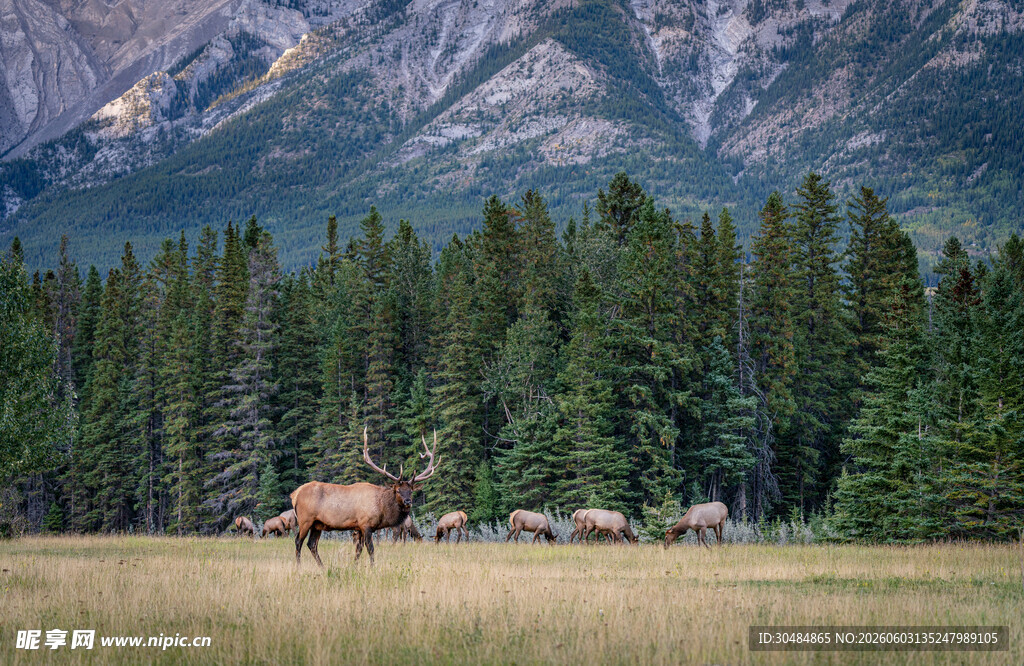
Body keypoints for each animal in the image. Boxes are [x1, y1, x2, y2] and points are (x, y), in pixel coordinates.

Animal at [291, 427, 439, 566]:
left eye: (411, 491)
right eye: (397, 490)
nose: (408, 501)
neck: (381, 509)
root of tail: (295, 494)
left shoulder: (359, 527)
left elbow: (358, 550)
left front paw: (354, 566)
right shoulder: (366, 525)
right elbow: (370, 549)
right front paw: (372, 567)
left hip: (317, 524)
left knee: (311, 544)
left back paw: (322, 566)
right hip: (305, 519)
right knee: (298, 541)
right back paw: (299, 566)